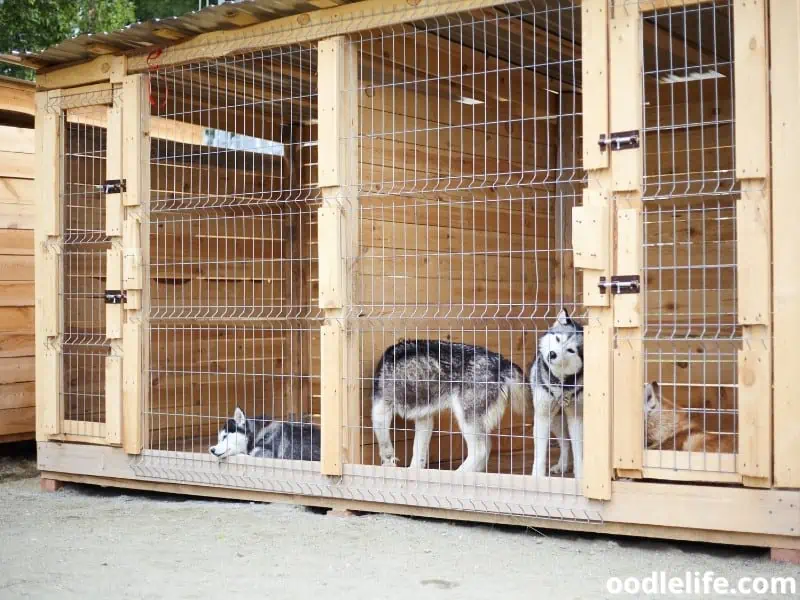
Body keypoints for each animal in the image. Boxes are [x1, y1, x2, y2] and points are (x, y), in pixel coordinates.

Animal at [372, 340, 528, 472]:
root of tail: (503, 362)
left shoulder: (380, 410)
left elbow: (385, 446)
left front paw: (388, 465)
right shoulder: (424, 419)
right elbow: (418, 452)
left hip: (466, 418)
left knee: (480, 450)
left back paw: (460, 474)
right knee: (487, 447)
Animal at [528, 310, 584, 478]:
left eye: (571, 350)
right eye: (558, 339)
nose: (552, 354)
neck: (561, 384)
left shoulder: (576, 417)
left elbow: (579, 451)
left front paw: (581, 475)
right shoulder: (542, 415)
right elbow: (540, 453)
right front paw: (538, 477)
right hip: (555, 419)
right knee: (565, 443)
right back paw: (562, 465)